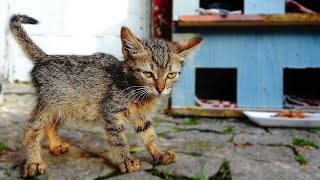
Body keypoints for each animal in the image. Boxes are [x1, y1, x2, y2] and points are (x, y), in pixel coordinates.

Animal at [10, 14, 202, 177]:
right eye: (148, 74)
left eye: (171, 75)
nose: (160, 89)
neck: (138, 91)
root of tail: (45, 57)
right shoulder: (111, 112)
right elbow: (119, 140)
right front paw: (126, 160)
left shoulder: (142, 117)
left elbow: (149, 135)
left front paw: (159, 154)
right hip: (50, 105)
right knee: (30, 129)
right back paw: (33, 163)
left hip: (63, 107)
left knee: (50, 125)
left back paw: (55, 145)